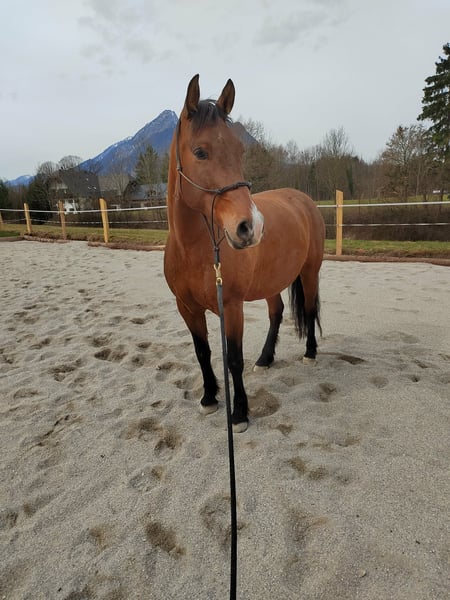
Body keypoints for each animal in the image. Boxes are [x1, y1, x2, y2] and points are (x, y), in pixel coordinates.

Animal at [164, 75, 325, 432]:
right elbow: (203, 352)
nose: (250, 227)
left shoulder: (232, 306)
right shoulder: (187, 308)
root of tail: (303, 199)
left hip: (310, 271)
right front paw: (209, 398)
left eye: (239, 151)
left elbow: (233, 359)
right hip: (272, 281)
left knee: (308, 309)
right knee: (277, 312)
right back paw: (265, 359)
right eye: (200, 152)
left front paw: (239, 413)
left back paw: (310, 354)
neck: (194, 251)